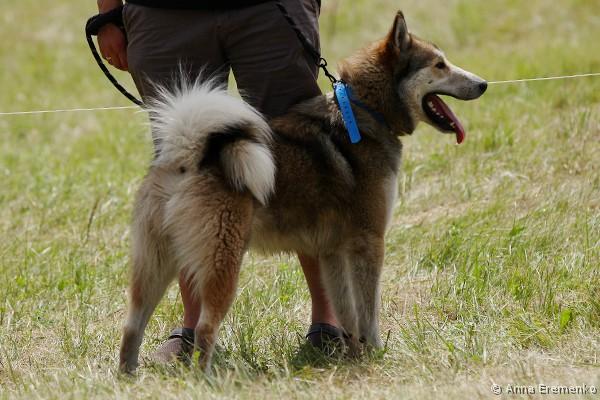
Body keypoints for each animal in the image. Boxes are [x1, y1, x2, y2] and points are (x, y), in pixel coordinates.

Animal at [118, 11, 487, 373]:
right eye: (439, 65)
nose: (483, 84)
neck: (363, 110)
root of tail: (191, 153)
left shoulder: (333, 252)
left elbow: (346, 311)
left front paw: (354, 354)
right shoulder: (369, 242)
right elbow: (368, 310)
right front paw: (376, 352)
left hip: (157, 264)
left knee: (132, 326)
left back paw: (129, 376)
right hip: (222, 262)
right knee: (205, 330)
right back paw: (208, 379)